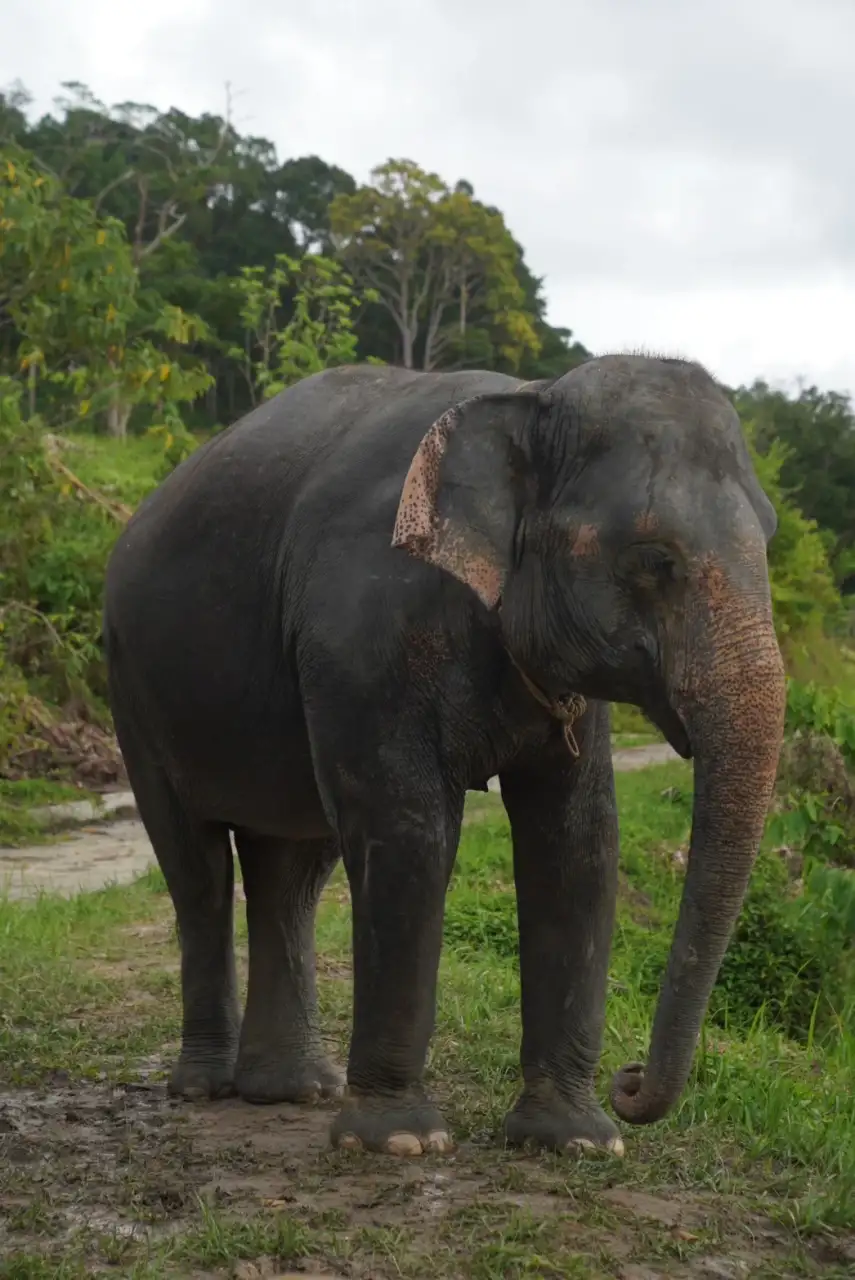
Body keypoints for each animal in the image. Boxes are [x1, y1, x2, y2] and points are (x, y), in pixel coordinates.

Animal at [103, 354, 785, 1158]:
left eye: (770, 536)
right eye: (654, 560)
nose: (630, 1082)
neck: (529, 399)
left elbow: (579, 839)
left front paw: (576, 1142)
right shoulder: (362, 630)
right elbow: (409, 829)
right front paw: (399, 1143)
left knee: (291, 872)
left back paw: (291, 1091)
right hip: (132, 689)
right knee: (200, 869)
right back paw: (205, 1088)